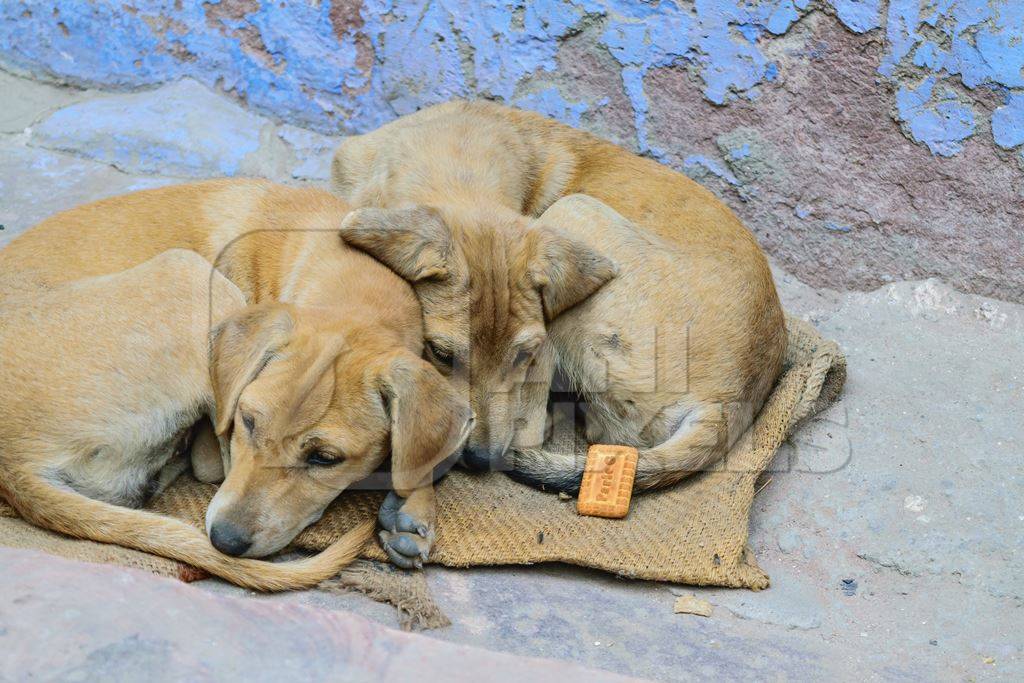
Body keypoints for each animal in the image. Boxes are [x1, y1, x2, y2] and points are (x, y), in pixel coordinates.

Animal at [331, 100, 786, 491]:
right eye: (441, 355)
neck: (456, 148)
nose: (482, 461)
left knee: (546, 430)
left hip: (573, 213)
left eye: (522, 356)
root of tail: (729, 402)